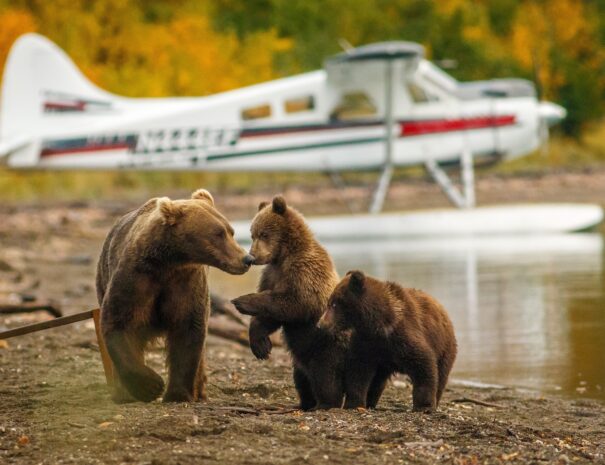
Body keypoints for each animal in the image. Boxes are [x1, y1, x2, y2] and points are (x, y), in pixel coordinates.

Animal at [95, 189, 255, 402]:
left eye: (231, 231)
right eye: (218, 233)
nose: (247, 259)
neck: (170, 262)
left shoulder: (186, 283)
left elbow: (187, 329)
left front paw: (178, 393)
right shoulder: (135, 279)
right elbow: (118, 322)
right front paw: (150, 385)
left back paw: (200, 391)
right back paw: (123, 393)